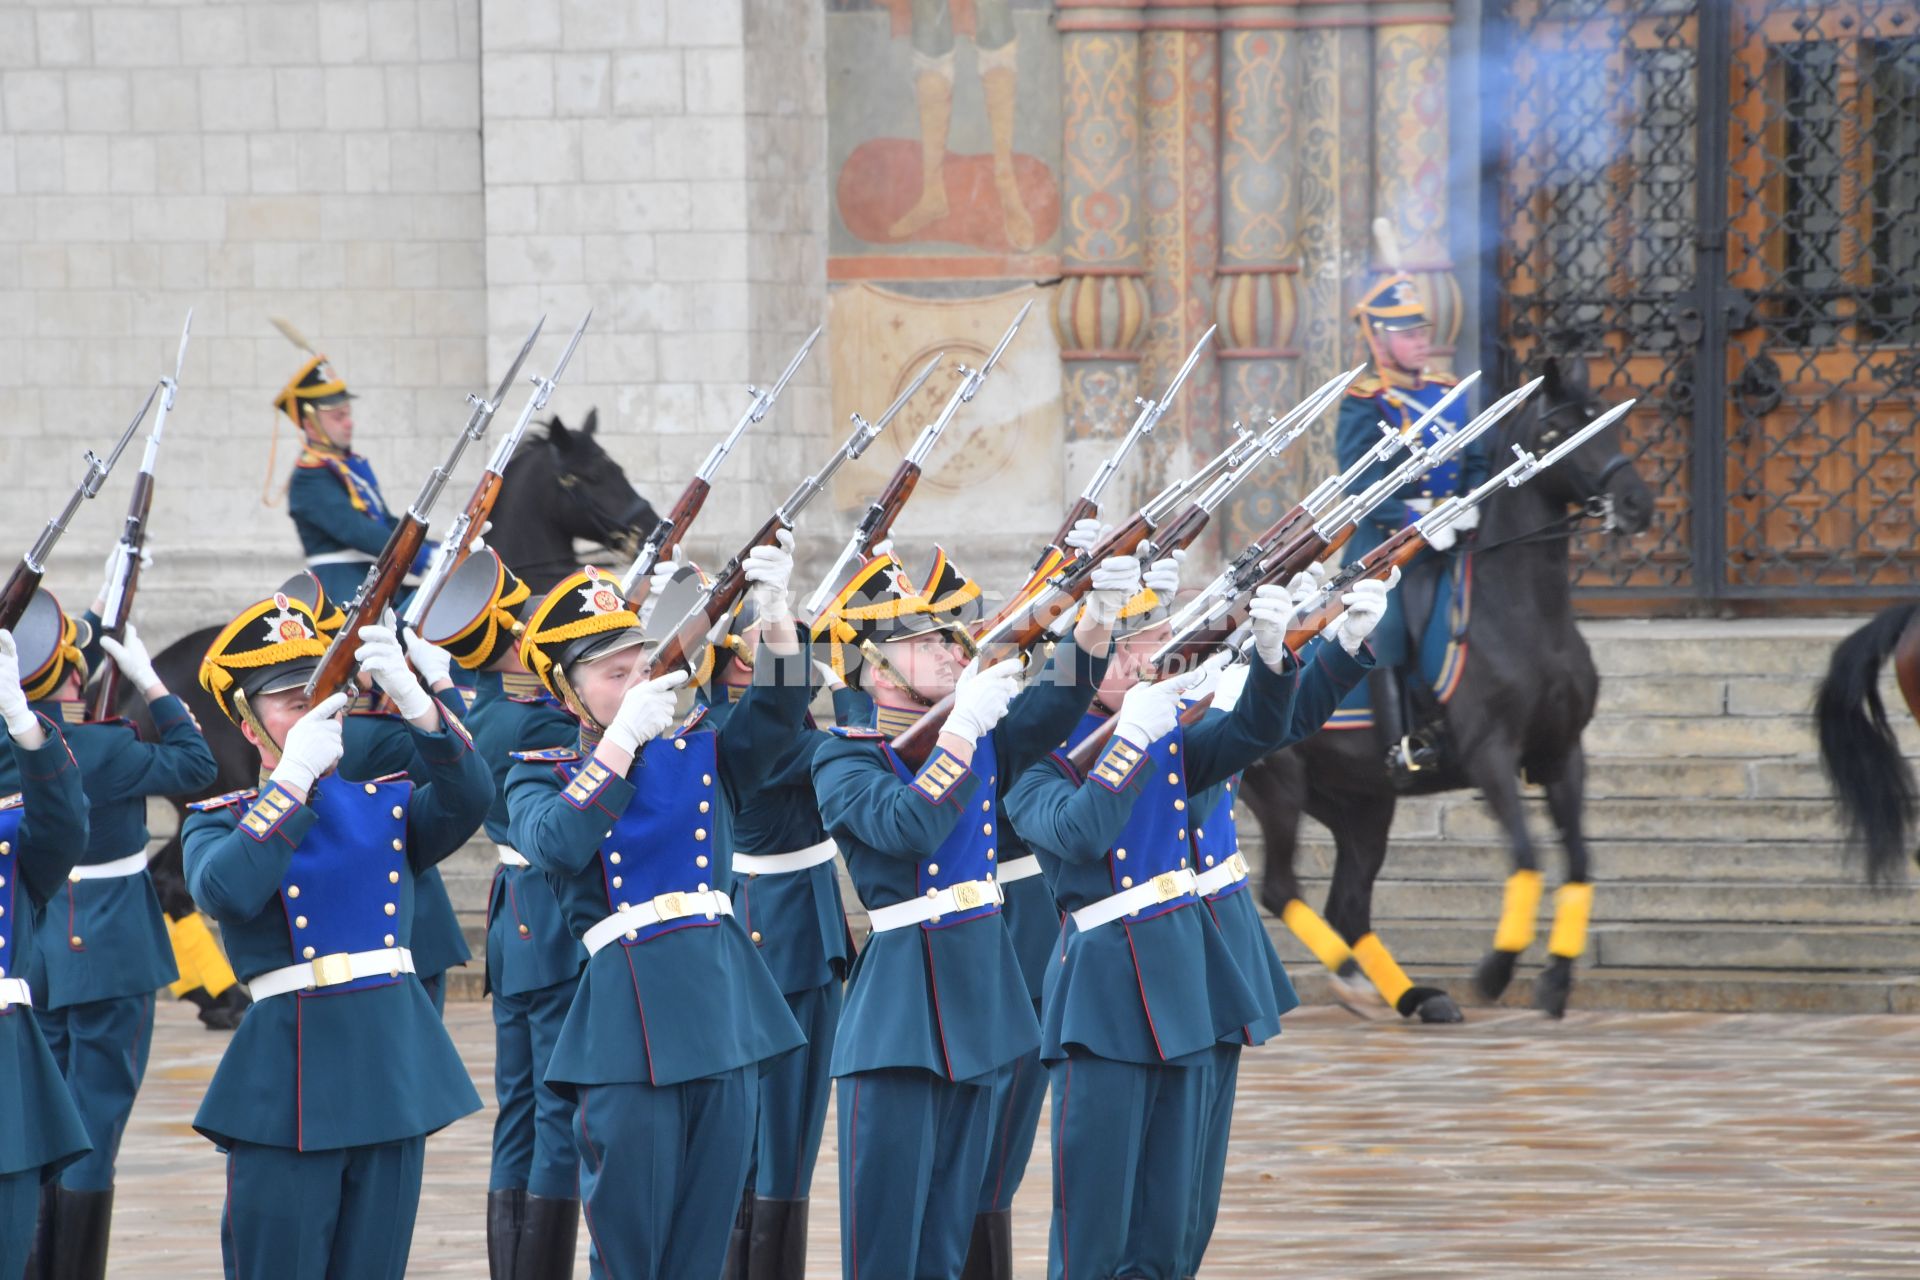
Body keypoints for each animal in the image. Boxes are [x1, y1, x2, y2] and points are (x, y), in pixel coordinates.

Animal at [1236, 358, 1658, 1020]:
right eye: (1558, 433)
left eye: (1608, 420)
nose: (1637, 505)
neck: (1527, 612)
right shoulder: (1490, 753)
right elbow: (1526, 854)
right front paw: (1498, 968)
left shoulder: (1563, 754)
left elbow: (1580, 861)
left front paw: (1558, 978)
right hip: (1280, 788)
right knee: (1281, 889)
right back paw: (1352, 977)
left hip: (1362, 801)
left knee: (1349, 905)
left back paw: (1413, 996)